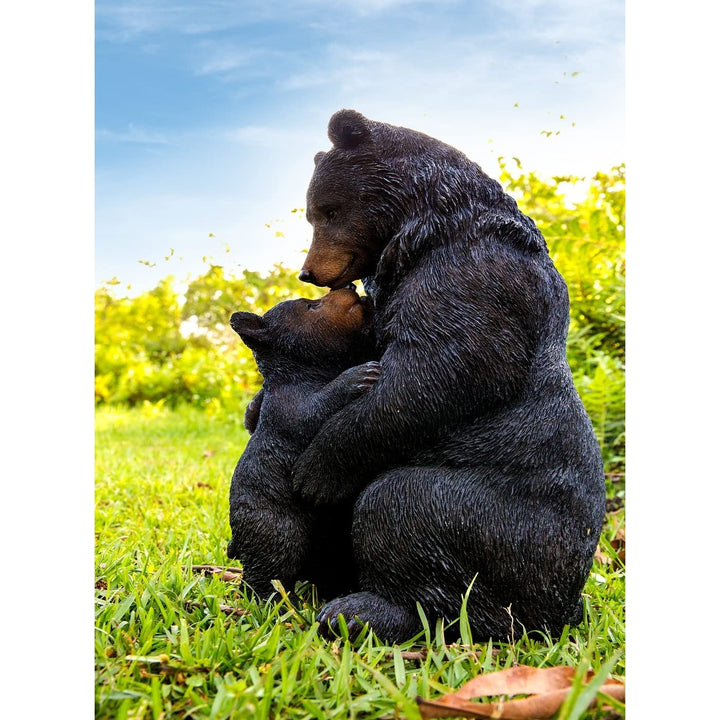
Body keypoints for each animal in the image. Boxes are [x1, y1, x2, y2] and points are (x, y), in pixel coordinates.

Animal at [226, 286, 379, 600]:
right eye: (311, 306)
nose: (350, 287)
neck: (306, 371)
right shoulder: (291, 408)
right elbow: (316, 410)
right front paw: (358, 375)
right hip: (277, 532)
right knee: (267, 574)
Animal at [291, 109, 607, 643]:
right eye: (314, 213)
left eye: (327, 210)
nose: (309, 272)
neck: (422, 229)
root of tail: (562, 606)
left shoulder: (471, 277)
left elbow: (448, 370)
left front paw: (315, 472)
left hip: (499, 516)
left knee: (401, 504)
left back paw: (360, 609)